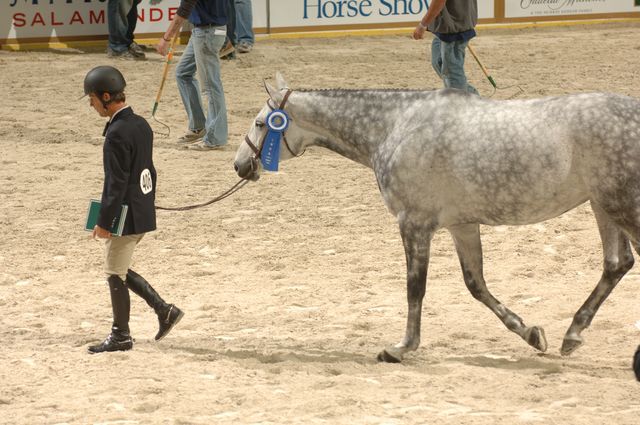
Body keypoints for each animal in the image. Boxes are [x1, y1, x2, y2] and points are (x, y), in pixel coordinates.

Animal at [234, 72, 640, 362]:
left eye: (261, 123)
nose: (240, 165)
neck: (394, 127)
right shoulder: (462, 225)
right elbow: (476, 285)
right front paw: (530, 333)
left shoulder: (414, 224)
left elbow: (415, 288)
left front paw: (401, 348)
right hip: (603, 206)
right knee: (617, 263)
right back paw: (572, 334)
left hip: (621, 206)